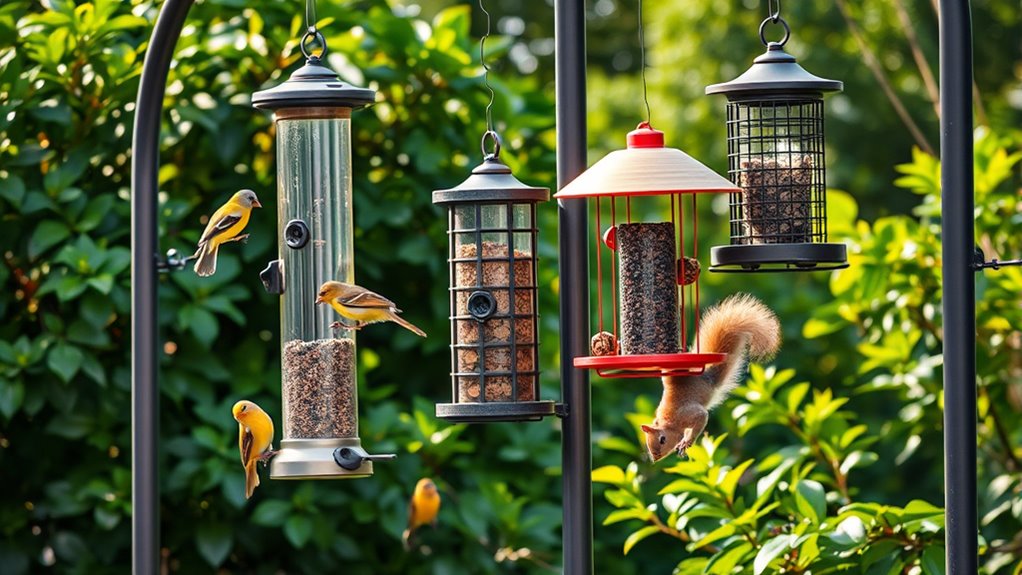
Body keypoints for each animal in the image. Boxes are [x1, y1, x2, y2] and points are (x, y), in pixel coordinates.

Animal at [641, 294, 781, 462]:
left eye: (662, 439)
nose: (655, 458)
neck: (668, 421)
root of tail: (707, 379)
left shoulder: (687, 415)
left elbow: (702, 417)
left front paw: (687, 441)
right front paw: (682, 443)